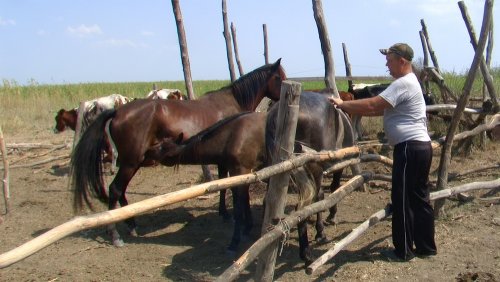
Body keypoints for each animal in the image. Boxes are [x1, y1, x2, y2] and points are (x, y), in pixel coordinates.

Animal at [69, 60, 286, 247]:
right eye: (280, 77)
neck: (231, 103)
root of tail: (117, 111)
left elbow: (224, 185)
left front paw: (225, 213)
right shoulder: (228, 161)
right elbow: (226, 185)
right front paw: (226, 214)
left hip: (133, 162)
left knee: (120, 191)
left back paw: (131, 225)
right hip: (131, 162)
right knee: (115, 189)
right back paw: (115, 235)